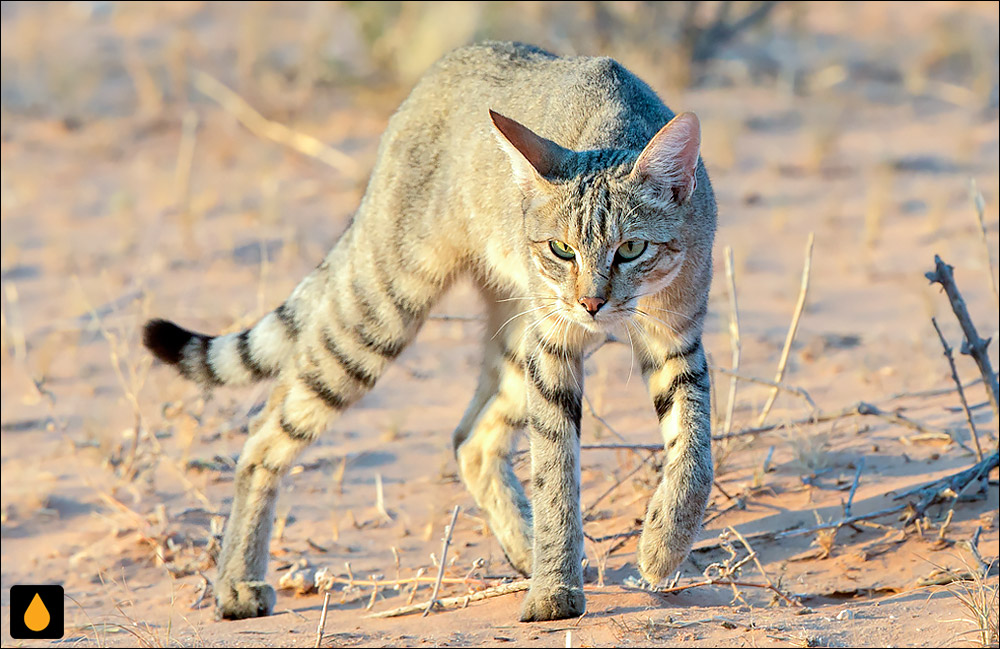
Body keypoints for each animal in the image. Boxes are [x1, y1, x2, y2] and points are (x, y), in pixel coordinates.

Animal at [145, 41, 716, 624]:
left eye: (631, 248)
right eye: (561, 249)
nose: (591, 302)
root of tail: (438, 71)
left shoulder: (678, 338)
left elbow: (695, 451)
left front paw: (663, 544)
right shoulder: (555, 340)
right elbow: (555, 467)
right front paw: (555, 589)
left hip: (514, 334)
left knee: (470, 438)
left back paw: (524, 545)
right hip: (385, 312)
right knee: (264, 433)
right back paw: (237, 582)